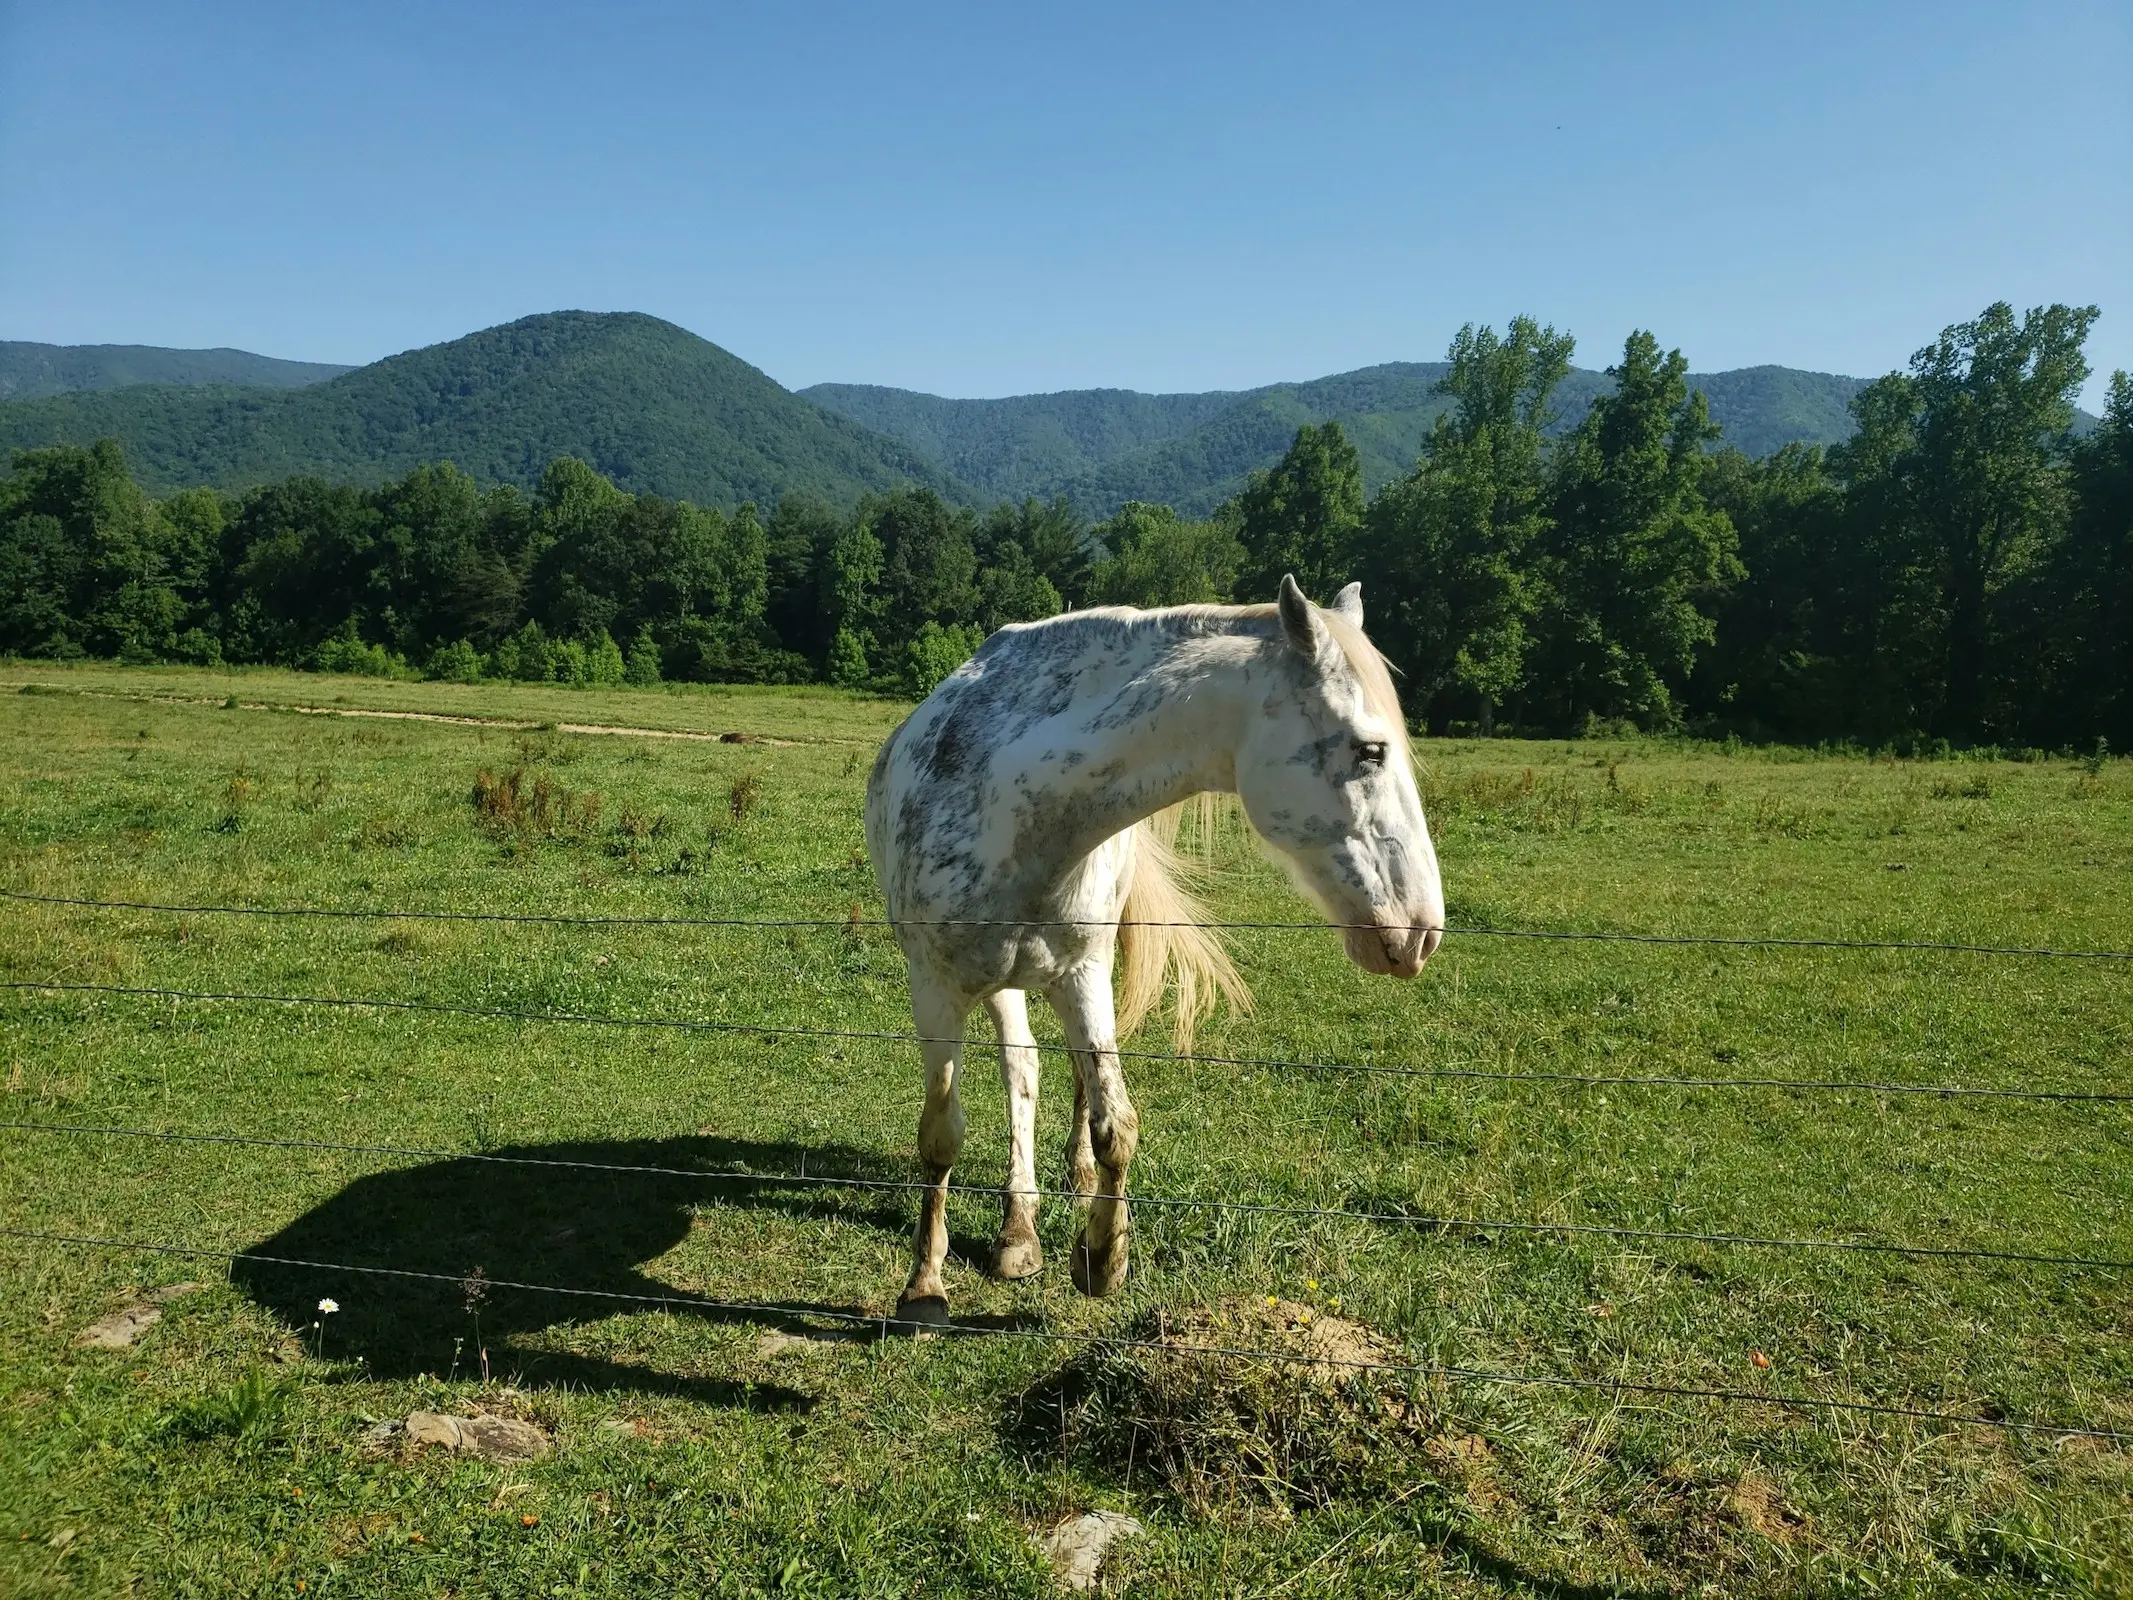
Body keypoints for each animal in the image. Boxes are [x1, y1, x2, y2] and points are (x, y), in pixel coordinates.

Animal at [865, 576, 1450, 1331]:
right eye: (1370, 751)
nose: (1422, 931)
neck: (1018, 807)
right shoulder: (934, 988)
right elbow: (942, 1134)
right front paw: (923, 1287)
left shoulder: (1082, 974)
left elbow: (1116, 1123)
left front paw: (1102, 1259)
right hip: (998, 982)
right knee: (1021, 1070)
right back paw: (1017, 1233)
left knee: (1058, 1075)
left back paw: (1057, 1199)